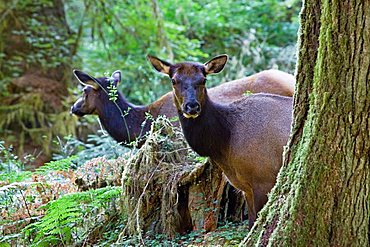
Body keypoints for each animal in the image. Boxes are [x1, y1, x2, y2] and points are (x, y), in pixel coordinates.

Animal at [147, 54, 292, 228]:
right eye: (174, 80)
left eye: (203, 80)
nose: (192, 106)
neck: (225, 142)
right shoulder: (246, 188)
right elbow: (251, 223)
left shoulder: (264, 179)